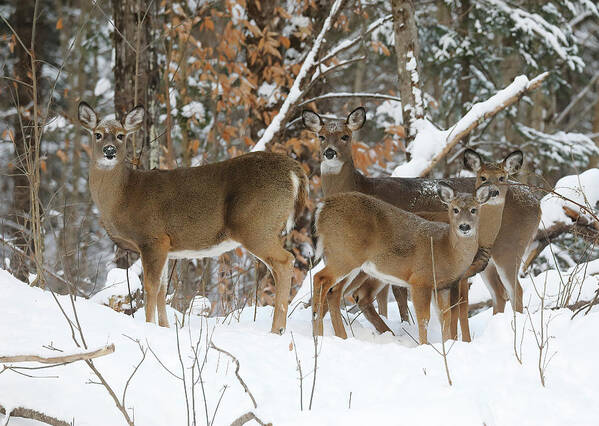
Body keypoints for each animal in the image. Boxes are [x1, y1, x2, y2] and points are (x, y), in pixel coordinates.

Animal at [78, 100, 310, 332]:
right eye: (98, 134)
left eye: (120, 135)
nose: (109, 151)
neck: (124, 196)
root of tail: (294, 171)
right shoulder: (166, 246)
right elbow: (163, 289)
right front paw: (165, 328)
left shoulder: (152, 238)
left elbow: (151, 287)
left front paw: (149, 326)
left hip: (255, 225)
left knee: (285, 261)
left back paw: (277, 330)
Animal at [314, 183, 496, 342]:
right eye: (455, 209)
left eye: (474, 210)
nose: (464, 226)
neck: (445, 250)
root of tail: (322, 209)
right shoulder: (420, 280)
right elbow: (424, 318)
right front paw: (425, 345)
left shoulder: (443, 286)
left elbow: (446, 316)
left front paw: (447, 344)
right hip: (345, 254)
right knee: (320, 279)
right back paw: (318, 333)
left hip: (348, 261)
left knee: (334, 292)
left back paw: (340, 336)